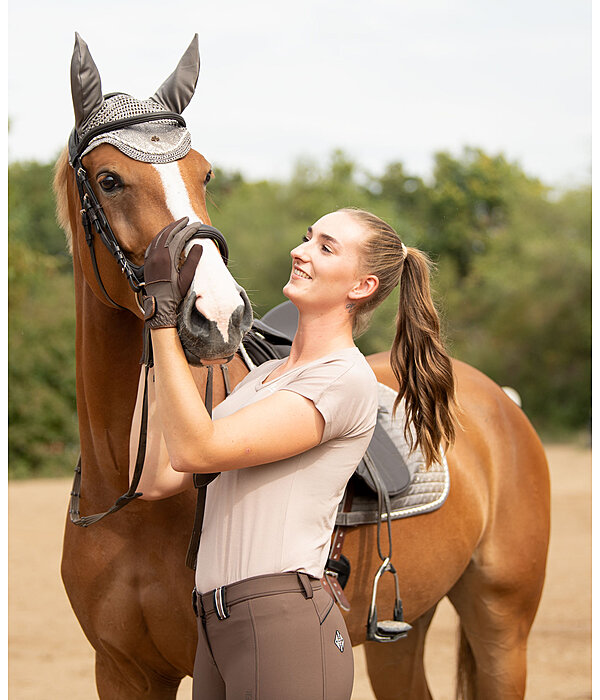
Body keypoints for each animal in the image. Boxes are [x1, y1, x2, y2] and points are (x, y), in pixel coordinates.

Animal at [54, 34, 552, 700]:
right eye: (109, 180)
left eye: (204, 173)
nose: (219, 314)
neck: (126, 493)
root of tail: (499, 401)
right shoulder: (123, 670)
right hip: (405, 629)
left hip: (503, 625)